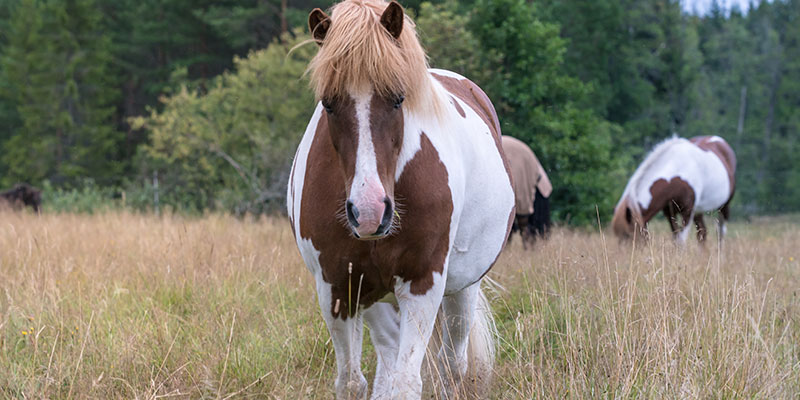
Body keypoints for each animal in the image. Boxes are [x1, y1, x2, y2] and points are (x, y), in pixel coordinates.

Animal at [286, 1, 512, 398]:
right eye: (328, 103)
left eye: (397, 100)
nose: (369, 213)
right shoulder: (337, 287)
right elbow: (352, 382)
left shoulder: (422, 283)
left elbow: (408, 381)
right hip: (378, 297)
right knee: (389, 361)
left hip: (462, 290)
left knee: (452, 365)